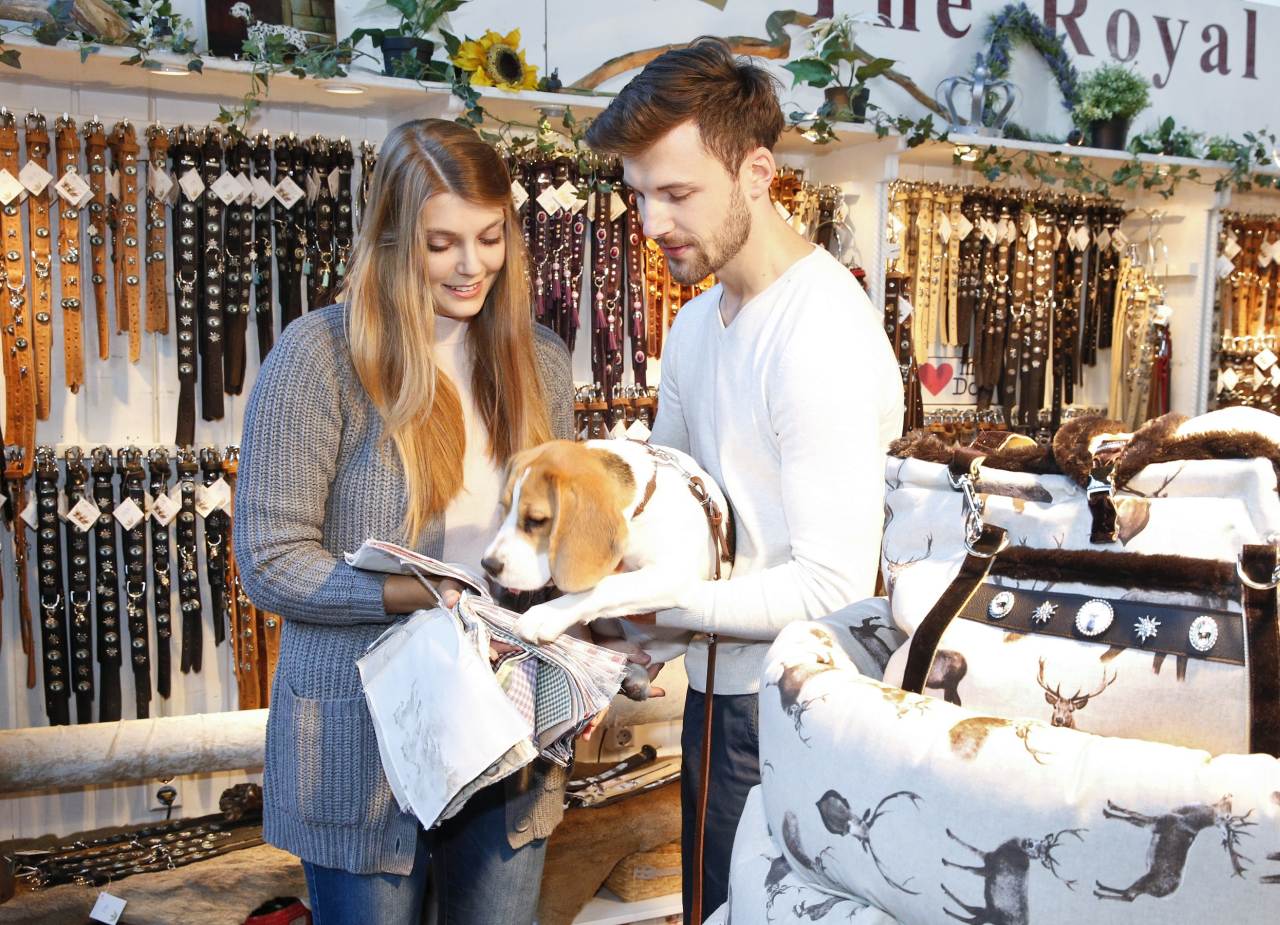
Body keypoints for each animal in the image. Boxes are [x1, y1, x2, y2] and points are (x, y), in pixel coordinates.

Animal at [481, 440, 732, 685]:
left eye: (536, 520)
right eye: (505, 509)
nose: (488, 565)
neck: (643, 507)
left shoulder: (673, 576)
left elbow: (607, 587)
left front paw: (547, 614)